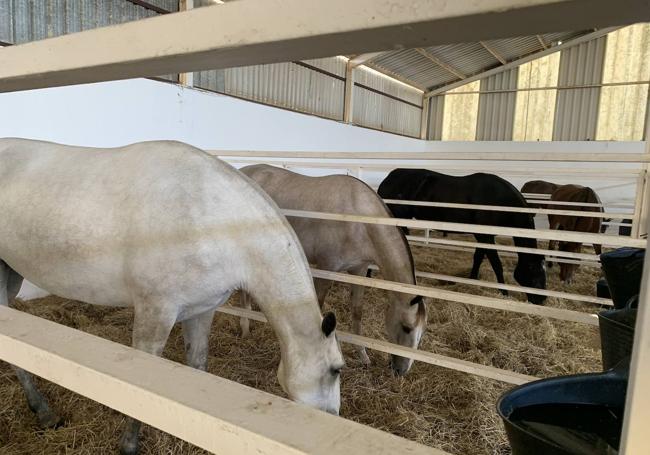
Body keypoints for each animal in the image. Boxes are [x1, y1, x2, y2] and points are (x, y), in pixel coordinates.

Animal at [0, 139, 344, 455]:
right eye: (337, 369)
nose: (332, 416)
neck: (215, 218)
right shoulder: (155, 313)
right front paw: (129, 446)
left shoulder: (201, 311)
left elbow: (197, 365)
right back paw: (44, 412)